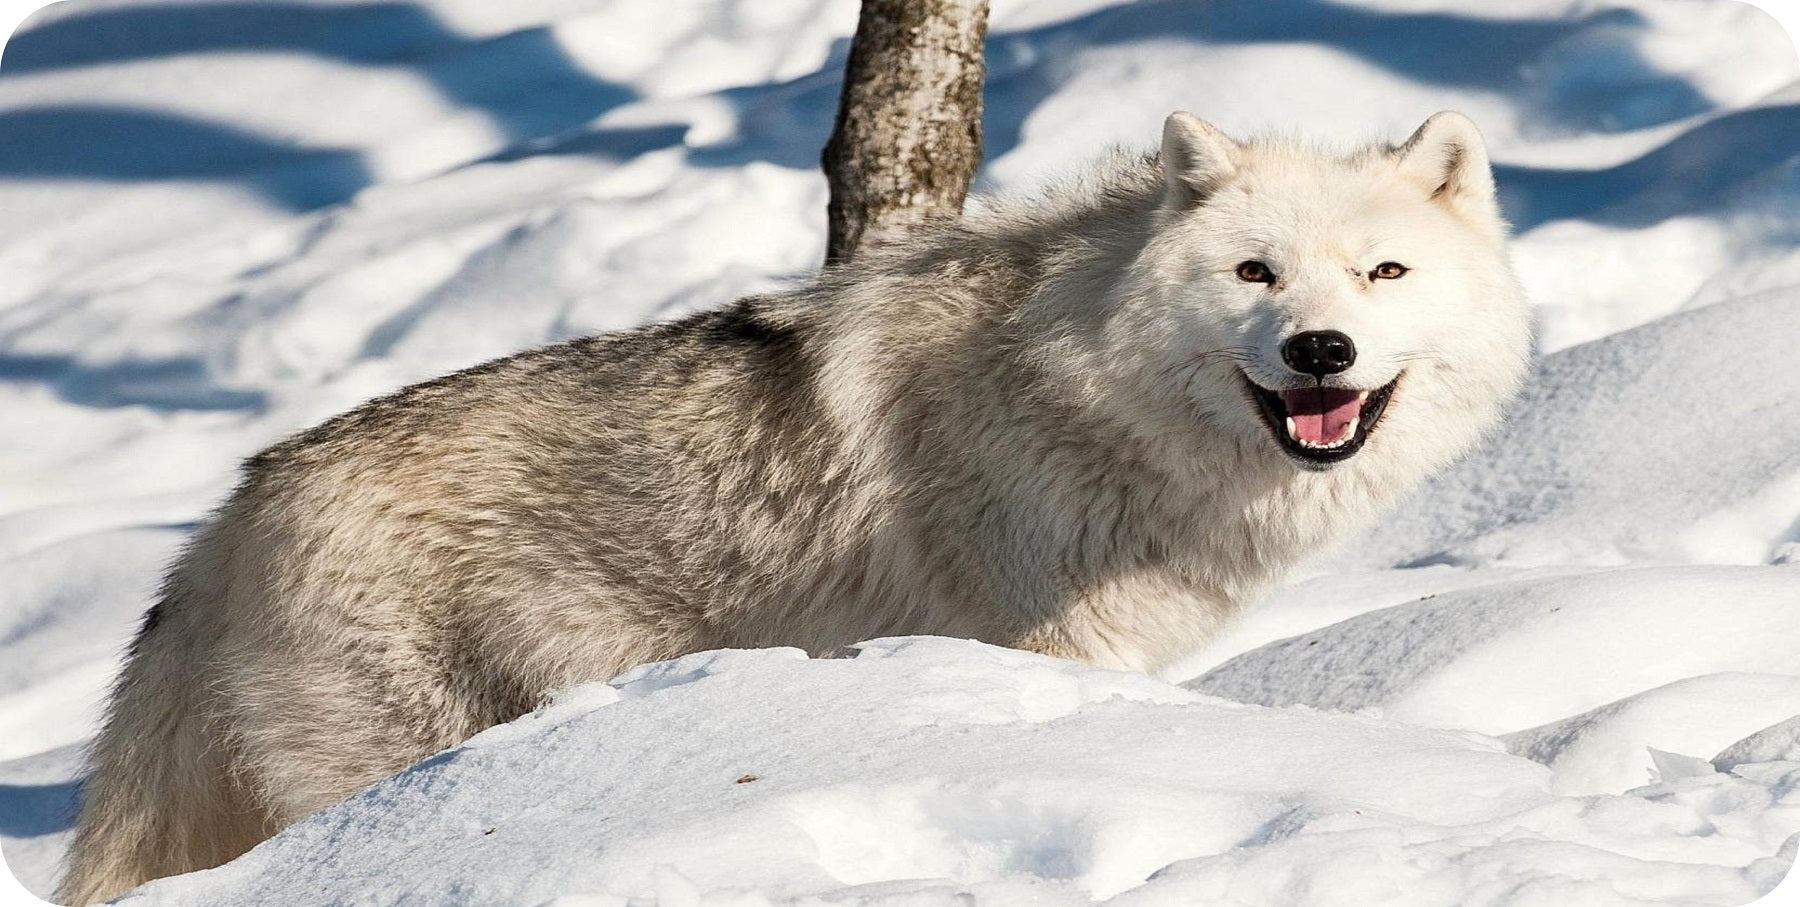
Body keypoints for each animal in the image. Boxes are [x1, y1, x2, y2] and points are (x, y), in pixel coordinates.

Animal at [63, 111, 1526, 899]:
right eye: (1254, 271)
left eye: (1384, 273)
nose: (1320, 350)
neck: (1077, 385)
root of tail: (229, 514)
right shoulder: (1052, 651)